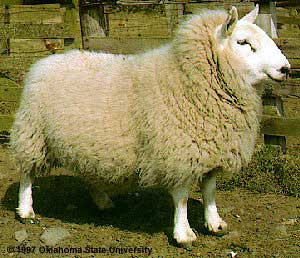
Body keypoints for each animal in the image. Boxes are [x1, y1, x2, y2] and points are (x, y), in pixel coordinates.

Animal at [10, 5, 290, 245]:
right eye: (243, 43)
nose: (286, 68)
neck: (188, 79)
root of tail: (44, 62)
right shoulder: (178, 152)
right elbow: (182, 197)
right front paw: (184, 234)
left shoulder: (211, 150)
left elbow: (210, 190)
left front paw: (215, 223)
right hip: (33, 133)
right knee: (26, 174)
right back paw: (25, 210)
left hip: (84, 142)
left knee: (87, 171)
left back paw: (102, 201)